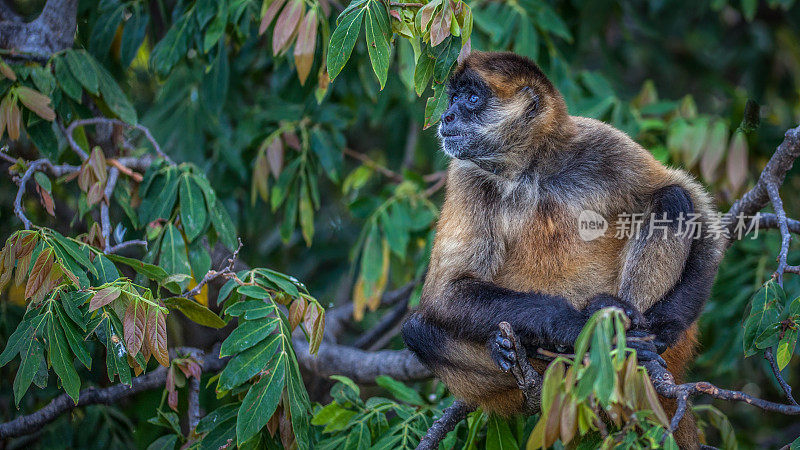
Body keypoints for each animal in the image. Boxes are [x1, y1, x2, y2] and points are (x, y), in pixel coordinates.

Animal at [404, 51, 728, 446]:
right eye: (452, 98)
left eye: (471, 98)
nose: (446, 116)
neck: (531, 169)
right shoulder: (465, 172)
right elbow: (445, 291)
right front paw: (578, 329)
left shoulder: (598, 141)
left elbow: (700, 213)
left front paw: (663, 328)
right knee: (418, 330)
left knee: (673, 199)